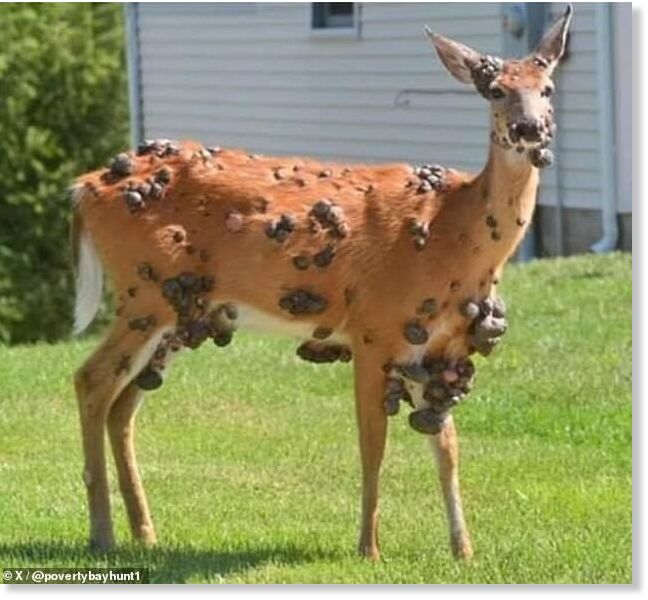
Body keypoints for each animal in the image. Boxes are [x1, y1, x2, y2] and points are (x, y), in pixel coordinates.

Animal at [70, 6, 572, 560]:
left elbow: (447, 448)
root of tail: (84, 188)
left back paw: (145, 533)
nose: (529, 127)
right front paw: (369, 549)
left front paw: (464, 551)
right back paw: (101, 533)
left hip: (183, 311)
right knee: (91, 380)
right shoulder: (374, 330)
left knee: (123, 405)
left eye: (547, 87)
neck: (451, 233)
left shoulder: (439, 346)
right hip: (144, 292)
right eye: (496, 90)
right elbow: (373, 445)